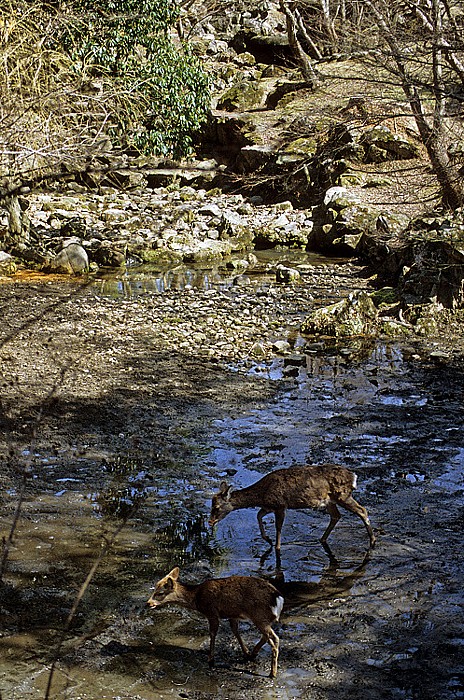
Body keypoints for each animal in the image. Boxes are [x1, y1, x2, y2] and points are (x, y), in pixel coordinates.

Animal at [147, 568, 282, 680]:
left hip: (259, 616)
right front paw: (246, 652)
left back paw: (272, 673)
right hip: (263, 618)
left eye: (160, 593)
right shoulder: (232, 614)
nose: (148, 603)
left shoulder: (211, 612)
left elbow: (213, 633)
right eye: (154, 589)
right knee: (267, 636)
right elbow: (235, 630)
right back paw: (254, 654)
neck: (196, 598)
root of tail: (278, 598)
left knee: (275, 638)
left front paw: (210, 660)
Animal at [208, 462, 376, 556]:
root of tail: (353, 476)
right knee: (336, 516)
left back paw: (373, 540)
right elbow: (258, 515)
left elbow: (278, 527)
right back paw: (322, 539)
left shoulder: (281, 505)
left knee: (362, 510)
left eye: (216, 507)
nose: (210, 522)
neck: (262, 493)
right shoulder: (269, 506)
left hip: (342, 496)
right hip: (330, 501)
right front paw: (267, 539)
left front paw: (277, 547)